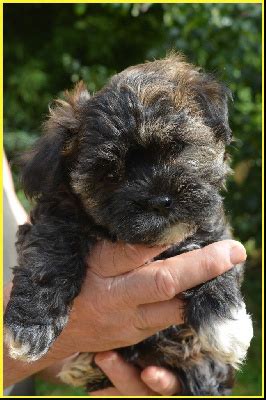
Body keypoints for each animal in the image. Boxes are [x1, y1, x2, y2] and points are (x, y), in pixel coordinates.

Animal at [4, 54, 254, 396]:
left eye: (176, 148)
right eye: (111, 173)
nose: (159, 200)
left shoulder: (212, 227)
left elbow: (214, 256)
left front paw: (225, 323)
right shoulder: (56, 214)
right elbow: (49, 256)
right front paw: (30, 325)